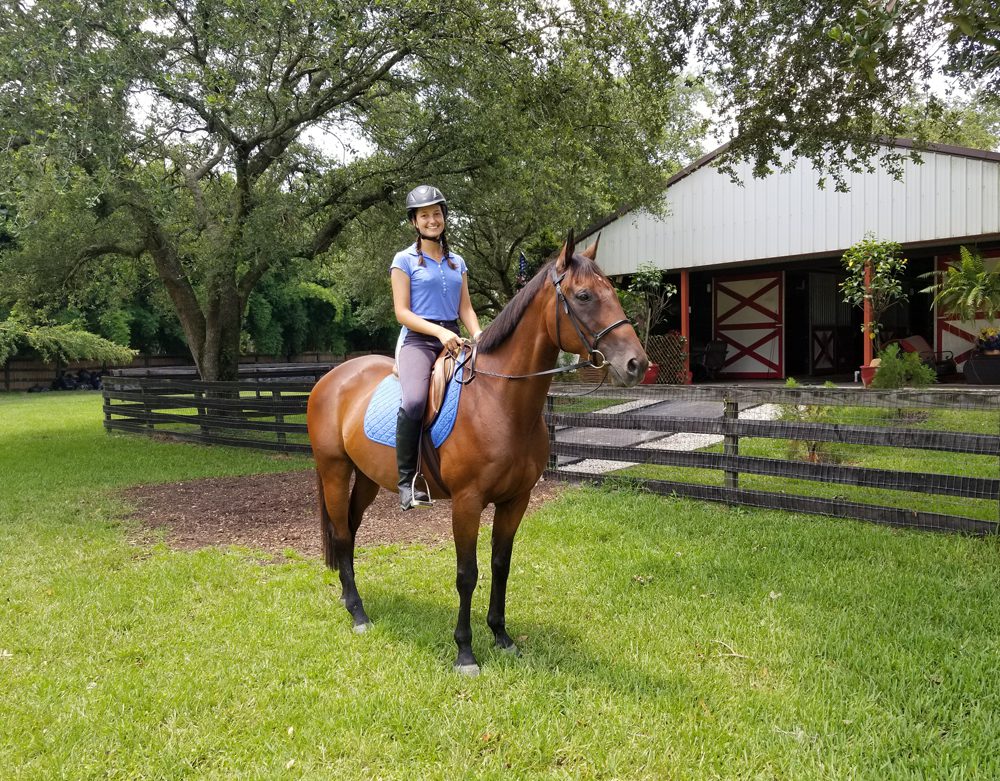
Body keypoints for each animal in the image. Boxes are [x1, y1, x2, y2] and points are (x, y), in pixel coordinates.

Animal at [306, 231, 648, 675]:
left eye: (613, 292)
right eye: (585, 295)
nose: (636, 364)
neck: (498, 399)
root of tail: (332, 377)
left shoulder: (516, 500)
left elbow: (501, 565)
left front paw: (501, 636)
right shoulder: (467, 503)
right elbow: (466, 573)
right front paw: (465, 652)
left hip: (365, 477)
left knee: (349, 531)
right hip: (334, 470)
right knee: (343, 532)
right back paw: (358, 613)